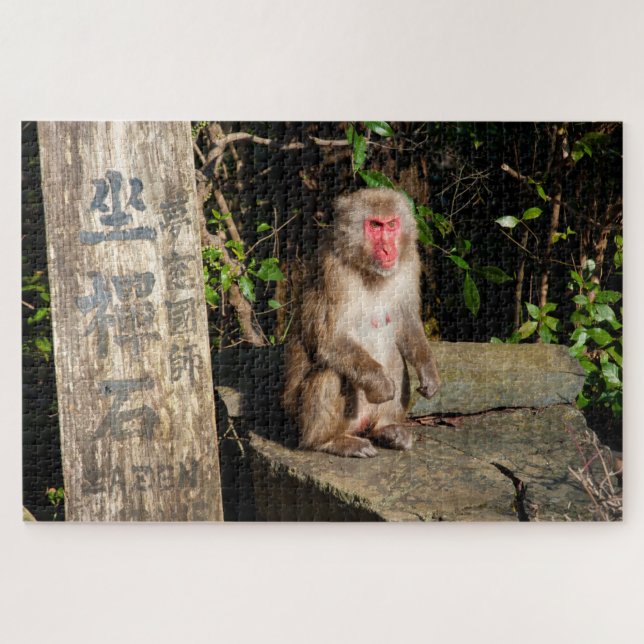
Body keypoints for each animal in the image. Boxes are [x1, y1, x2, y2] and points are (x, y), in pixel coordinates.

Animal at [283, 187, 440, 458]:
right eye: (375, 226)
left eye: (391, 225)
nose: (388, 249)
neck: (368, 269)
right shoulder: (333, 272)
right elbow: (329, 340)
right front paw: (382, 385)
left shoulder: (410, 262)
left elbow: (407, 321)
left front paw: (428, 371)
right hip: (302, 420)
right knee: (332, 374)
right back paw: (327, 442)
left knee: (395, 359)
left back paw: (386, 430)